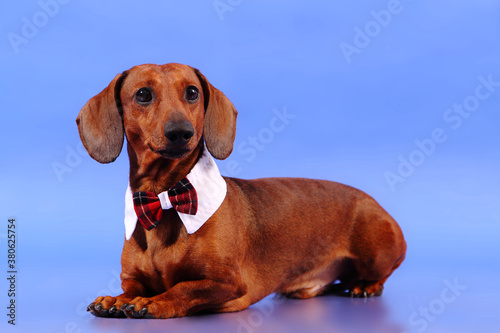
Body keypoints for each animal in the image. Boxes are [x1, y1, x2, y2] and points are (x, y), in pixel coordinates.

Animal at [77, 63, 406, 320]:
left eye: (192, 92)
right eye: (143, 94)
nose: (181, 132)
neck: (164, 198)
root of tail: (374, 202)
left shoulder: (227, 283)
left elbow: (182, 288)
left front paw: (153, 302)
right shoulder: (132, 278)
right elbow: (130, 289)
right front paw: (115, 299)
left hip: (377, 252)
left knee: (380, 275)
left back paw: (366, 286)